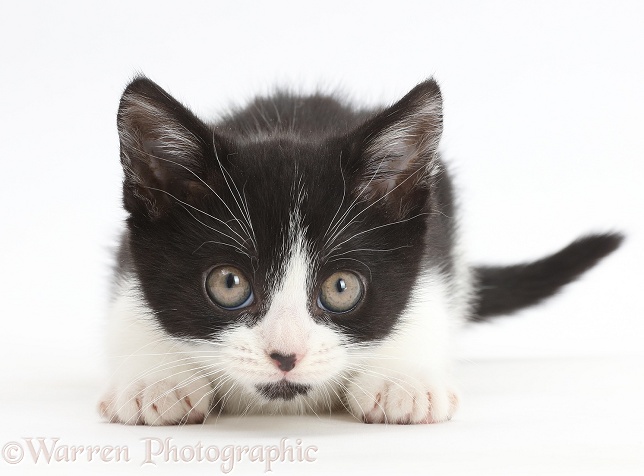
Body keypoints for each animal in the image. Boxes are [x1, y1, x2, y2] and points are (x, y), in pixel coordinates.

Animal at [98, 76, 620, 426]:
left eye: (341, 287)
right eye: (228, 283)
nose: (285, 356)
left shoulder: (434, 253)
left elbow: (427, 304)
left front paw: (402, 381)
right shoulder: (128, 258)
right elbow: (127, 309)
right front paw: (157, 380)